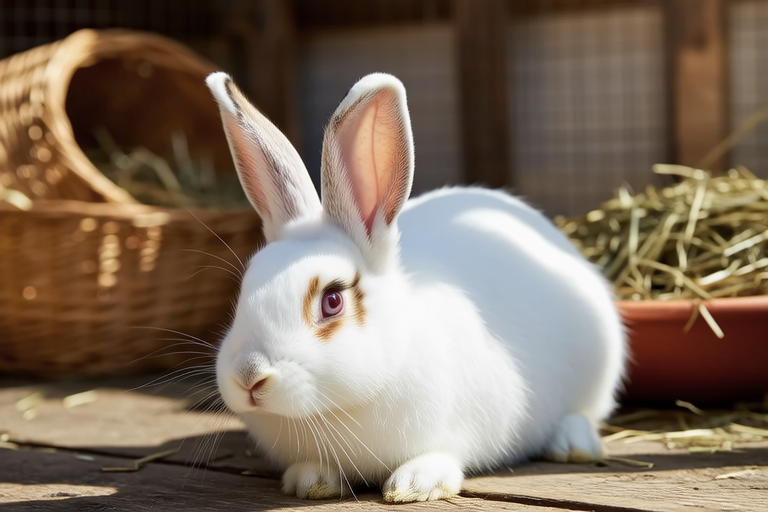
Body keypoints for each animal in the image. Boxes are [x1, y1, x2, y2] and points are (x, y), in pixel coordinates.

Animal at [206, 71, 626, 503]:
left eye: (333, 300)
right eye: (244, 289)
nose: (249, 376)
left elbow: (441, 456)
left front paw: (413, 484)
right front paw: (310, 480)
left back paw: (572, 444)